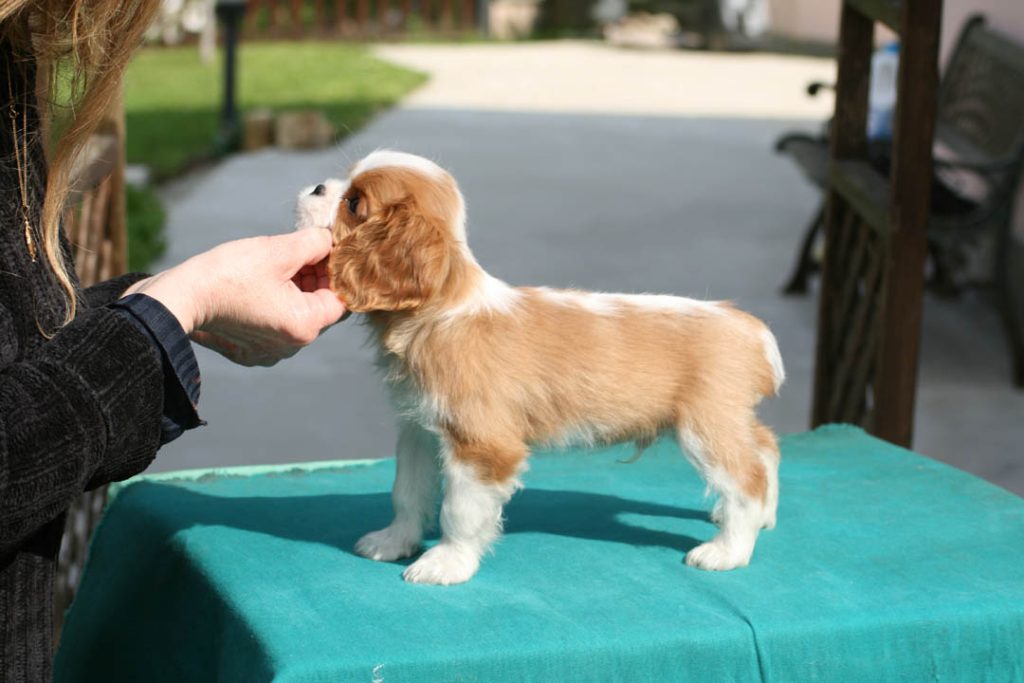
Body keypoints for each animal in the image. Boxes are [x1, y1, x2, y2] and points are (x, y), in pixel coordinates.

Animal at [311, 150, 782, 589]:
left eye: (353, 203)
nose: (316, 186)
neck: (442, 308)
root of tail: (746, 325)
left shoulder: (482, 446)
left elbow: (459, 511)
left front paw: (447, 562)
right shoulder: (418, 430)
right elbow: (408, 492)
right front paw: (394, 542)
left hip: (706, 427)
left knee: (747, 480)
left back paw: (728, 550)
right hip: (727, 420)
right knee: (766, 446)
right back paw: (765, 518)